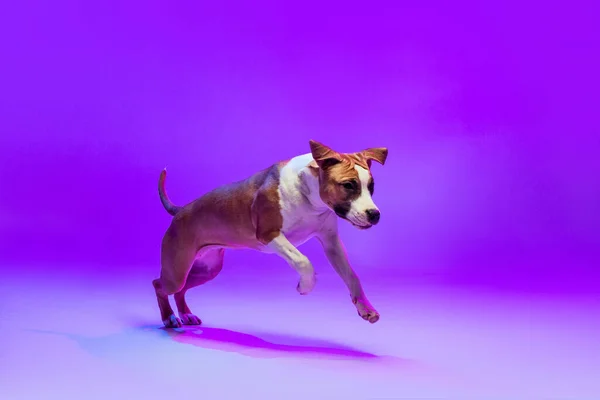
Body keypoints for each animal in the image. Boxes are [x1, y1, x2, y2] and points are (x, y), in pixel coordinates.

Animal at [155, 141, 386, 328]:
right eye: (348, 185)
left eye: (371, 187)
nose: (374, 214)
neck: (309, 195)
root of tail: (181, 210)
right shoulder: (269, 234)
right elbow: (303, 261)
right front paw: (305, 286)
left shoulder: (331, 243)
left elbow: (352, 276)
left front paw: (366, 308)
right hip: (177, 271)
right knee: (160, 285)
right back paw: (169, 318)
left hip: (207, 269)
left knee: (180, 290)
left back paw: (186, 315)